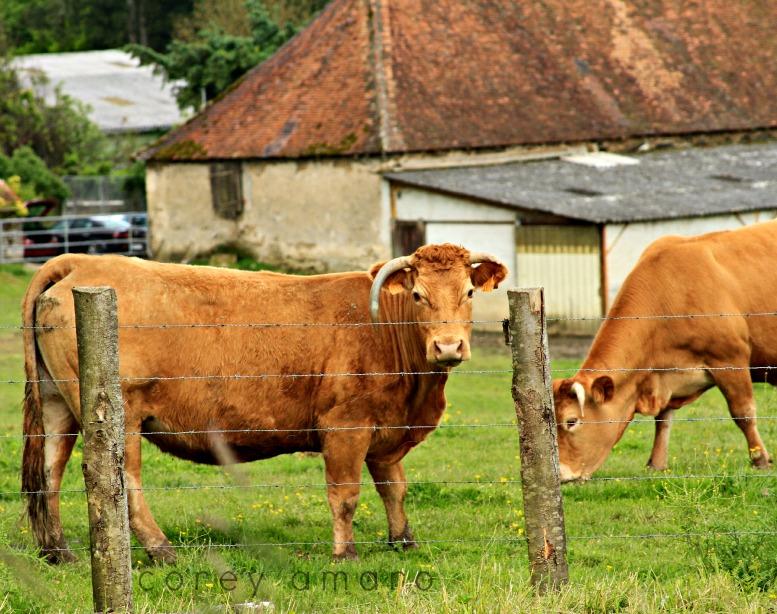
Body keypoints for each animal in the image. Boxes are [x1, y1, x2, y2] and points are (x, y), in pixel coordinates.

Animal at [22, 244, 508, 563]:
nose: (449, 346)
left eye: (468, 292)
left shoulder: (386, 432)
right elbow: (344, 495)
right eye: (418, 295)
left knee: (49, 470)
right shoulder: (345, 427)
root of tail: (80, 261)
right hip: (119, 414)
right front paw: (345, 554)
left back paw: (58, 551)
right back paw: (162, 550)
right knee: (121, 479)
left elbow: (394, 488)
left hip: (58, 403)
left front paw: (403, 542)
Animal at [553, 220, 777, 482]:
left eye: (571, 421)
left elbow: (743, 413)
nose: (561, 473)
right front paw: (656, 463)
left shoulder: (730, 360)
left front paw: (760, 460)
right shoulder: (663, 375)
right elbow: (663, 420)